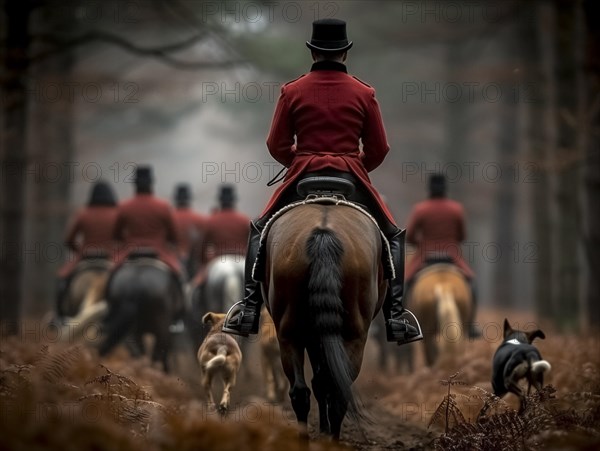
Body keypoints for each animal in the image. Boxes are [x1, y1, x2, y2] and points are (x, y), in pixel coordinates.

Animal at [264, 202, 386, 442]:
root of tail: (323, 234)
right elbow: (325, 381)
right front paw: (325, 429)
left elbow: (320, 381)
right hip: (353, 335)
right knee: (339, 390)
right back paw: (333, 440)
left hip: (290, 332)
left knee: (301, 392)